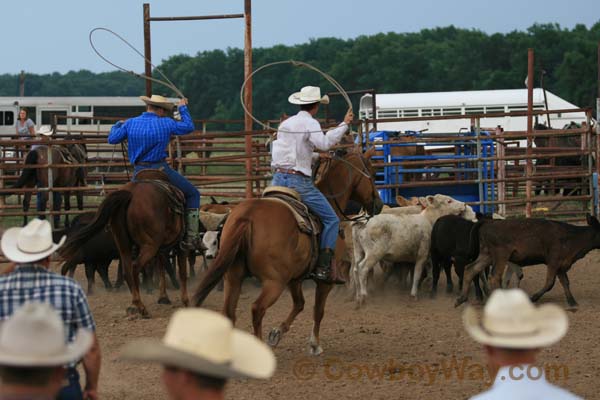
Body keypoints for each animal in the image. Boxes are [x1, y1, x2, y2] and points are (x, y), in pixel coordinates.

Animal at [59, 173, 191, 318]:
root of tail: (131, 193)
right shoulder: (180, 246)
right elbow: (181, 272)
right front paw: (185, 301)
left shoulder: (162, 250)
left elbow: (162, 269)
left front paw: (163, 297)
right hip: (149, 246)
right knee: (134, 268)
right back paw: (141, 307)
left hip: (123, 245)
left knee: (125, 271)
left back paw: (134, 304)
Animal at [192, 145, 384, 354]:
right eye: (373, 173)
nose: (379, 205)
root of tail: (248, 216)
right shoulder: (325, 281)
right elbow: (318, 310)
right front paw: (314, 344)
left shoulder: (295, 278)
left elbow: (299, 304)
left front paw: (276, 333)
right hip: (274, 281)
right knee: (257, 309)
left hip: (234, 276)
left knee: (228, 313)